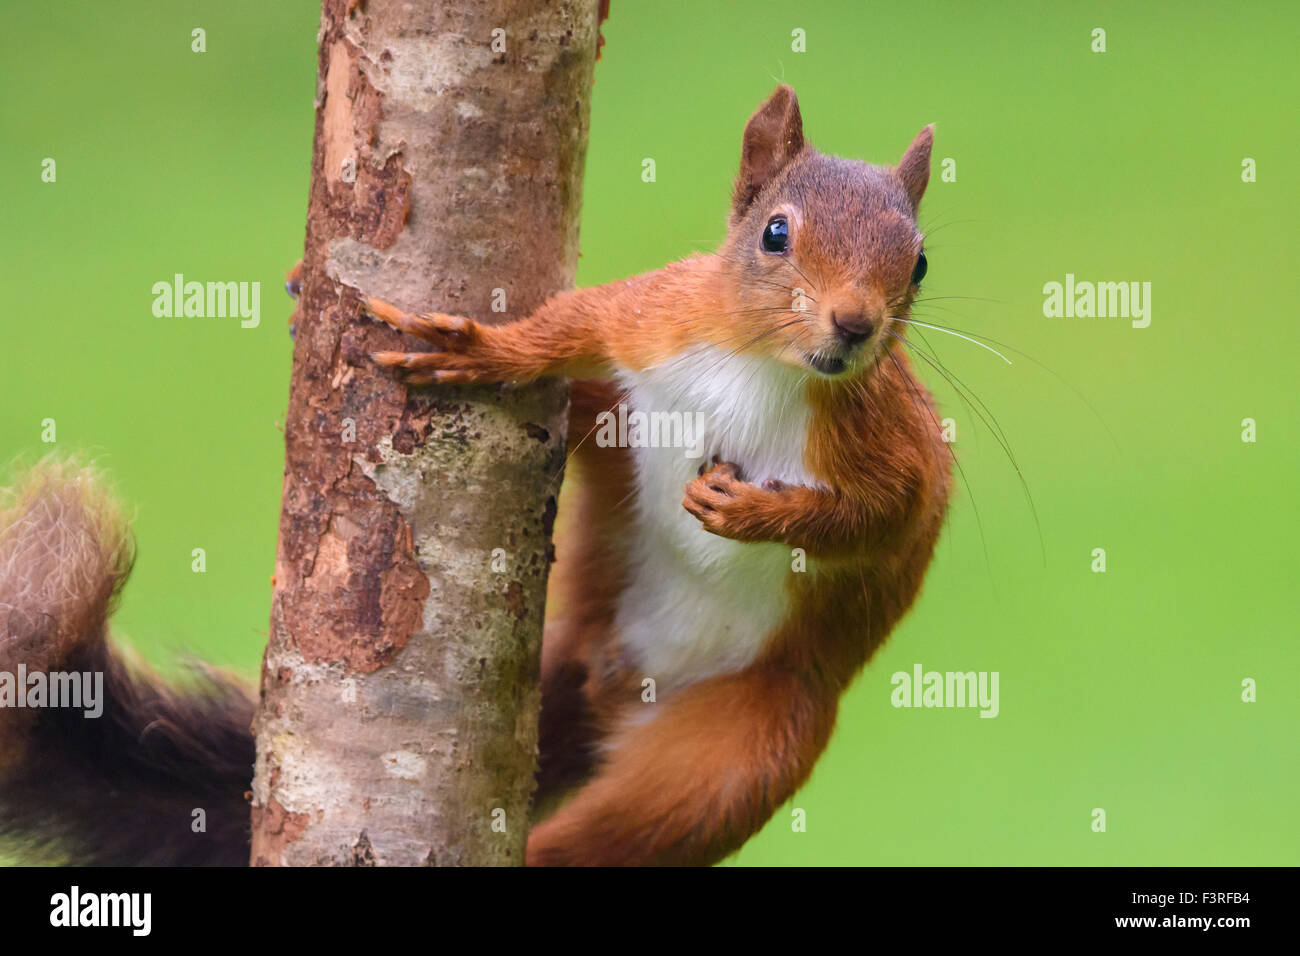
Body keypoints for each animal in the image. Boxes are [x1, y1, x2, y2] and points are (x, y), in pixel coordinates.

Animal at [0, 87, 956, 868]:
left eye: (918, 262)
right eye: (775, 233)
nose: (855, 326)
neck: (766, 368)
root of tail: (609, 676)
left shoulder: (895, 447)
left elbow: (884, 519)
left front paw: (752, 511)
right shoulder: (650, 316)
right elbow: (566, 326)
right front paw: (482, 351)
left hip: (739, 752)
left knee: (624, 834)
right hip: (610, 430)